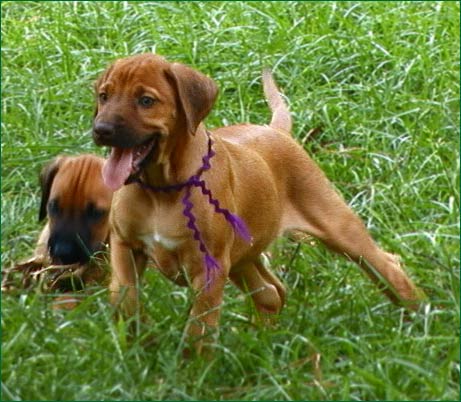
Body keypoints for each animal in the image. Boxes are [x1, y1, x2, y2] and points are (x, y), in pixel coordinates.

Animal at [90, 54, 424, 354]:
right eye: (104, 96)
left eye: (146, 101)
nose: (101, 130)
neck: (162, 189)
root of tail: (275, 131)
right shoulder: (124, 245)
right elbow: (123, 296)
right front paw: (137, 340)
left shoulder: (210, 269)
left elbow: (199, 328)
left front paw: (190, 370)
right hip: (243, 255)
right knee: (271, 292)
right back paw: (264, 341)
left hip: (336, 227)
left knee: (386, 264)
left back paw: (421, 321)